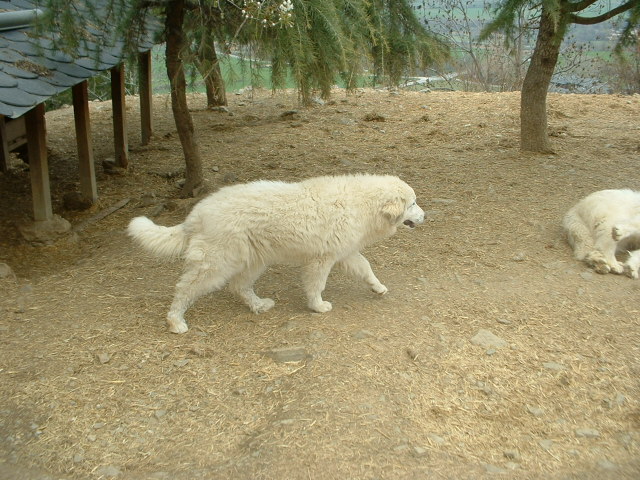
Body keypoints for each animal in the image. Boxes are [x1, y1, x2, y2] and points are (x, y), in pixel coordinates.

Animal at [127, 173, 424, 334]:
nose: (426, 216)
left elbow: (366, 268)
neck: (362, 203)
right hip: (216, 263)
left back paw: (258, 305)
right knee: (184, 288)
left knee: (239, 286)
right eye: (412, 204)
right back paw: (175, 320)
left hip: (254, 261)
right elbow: (316, 286)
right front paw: (317, 307)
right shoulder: (321, 260)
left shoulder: (344, 254)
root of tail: (197, 213)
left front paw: (379, 288)